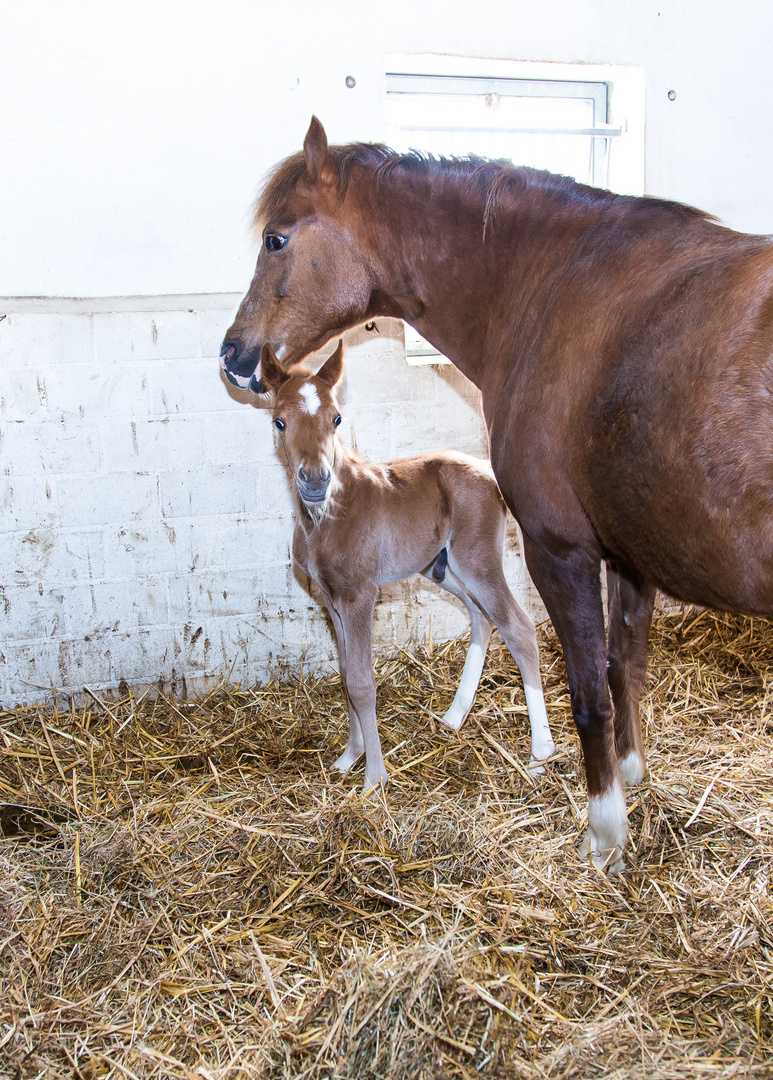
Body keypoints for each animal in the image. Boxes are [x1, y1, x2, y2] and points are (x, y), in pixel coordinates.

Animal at [262, 341, 552, 799]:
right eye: (280, 421)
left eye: (337, 418)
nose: (314, 480)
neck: (327, 517)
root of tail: (488, 472)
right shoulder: (331, 599)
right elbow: (346, 676)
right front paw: (348, 758)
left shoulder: (360, 595)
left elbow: (362, 682)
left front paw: (373, 779)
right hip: (441, 568)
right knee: (481, 618)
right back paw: (454, 716)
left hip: (476, 560)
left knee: (518, 627)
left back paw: (540, 751)